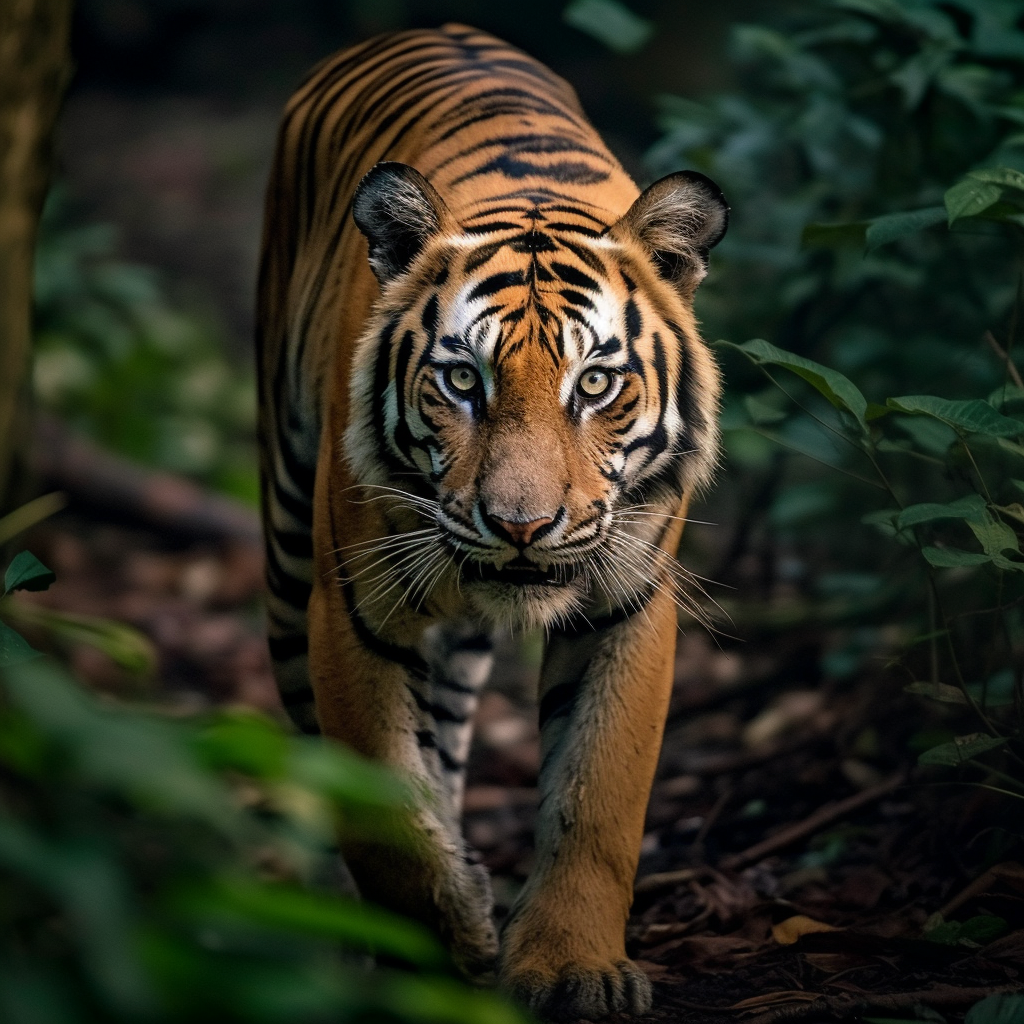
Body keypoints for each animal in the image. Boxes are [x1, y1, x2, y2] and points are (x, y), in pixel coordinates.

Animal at [257, 24, 727, 1021]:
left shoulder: (627, 607)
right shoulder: (351, 612)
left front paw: (573, 968)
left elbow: (596, 799)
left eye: (597, 383)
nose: (521, 525)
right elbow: (383, 812)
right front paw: (436, 951)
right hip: (284, 549)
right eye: (462, 380)